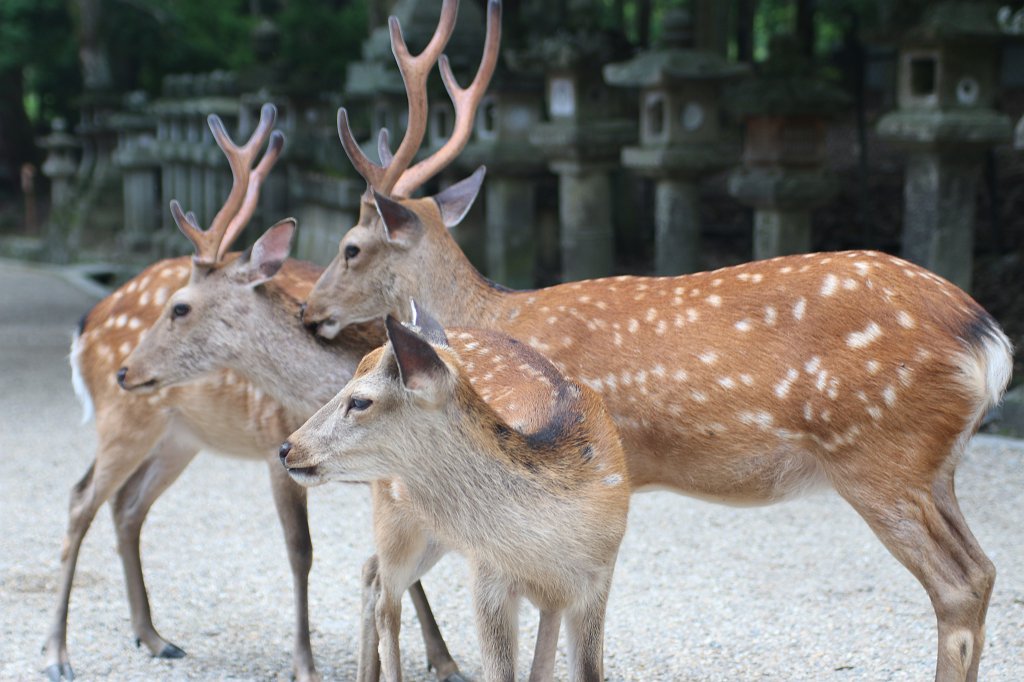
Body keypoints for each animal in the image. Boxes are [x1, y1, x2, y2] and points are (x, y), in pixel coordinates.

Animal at [45, 103, 464, 679]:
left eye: (180, 308)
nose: (127, 371)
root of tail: (87, 323)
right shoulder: (274, 448)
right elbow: (301, 551)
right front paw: (304, 664)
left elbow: (400, 559)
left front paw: (445, 660)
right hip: (123, 422)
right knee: (81, 498)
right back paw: (57, 653)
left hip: (179, 437)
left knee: (127, 505)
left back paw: (153, 637)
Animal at [282, 307, 630, 679]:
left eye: (360, 401)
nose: (287, 447)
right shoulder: (488, 579)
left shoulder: (598, 580)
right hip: (396, 518)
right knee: (385, 600)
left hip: (438, 532)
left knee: (371, 573)